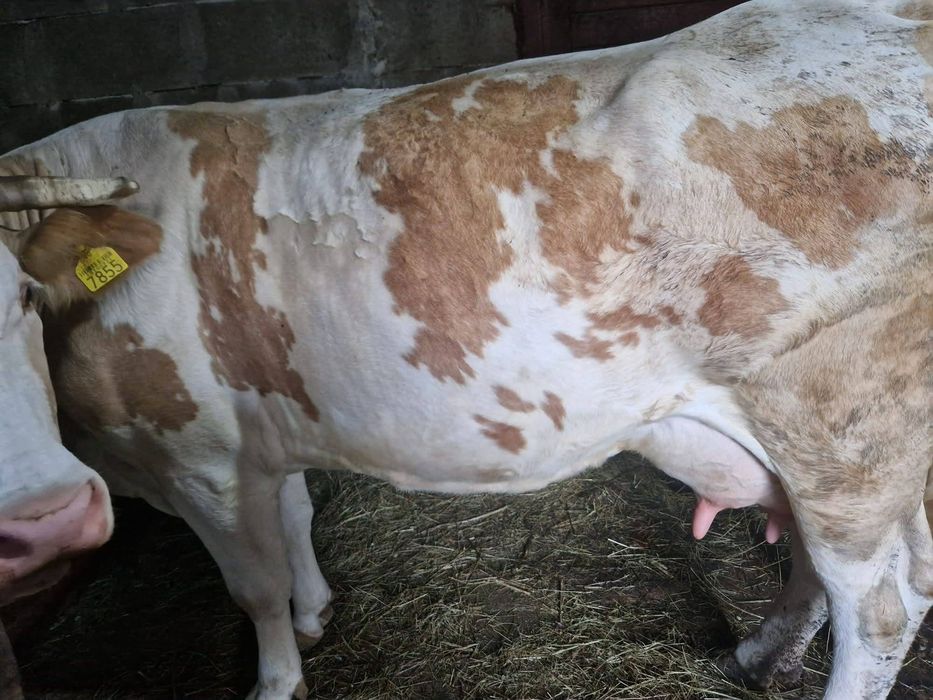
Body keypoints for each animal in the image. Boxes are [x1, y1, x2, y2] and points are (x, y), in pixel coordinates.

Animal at [1, 0, 929, 697]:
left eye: (19, 298)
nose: (46, 516)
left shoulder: (197, 453)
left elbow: (252, 586)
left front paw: (277, 677)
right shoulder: (268, 416)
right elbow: (298, 515)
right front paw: (315, 611)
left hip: (838, 426)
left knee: (881, 606)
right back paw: (759, 656)